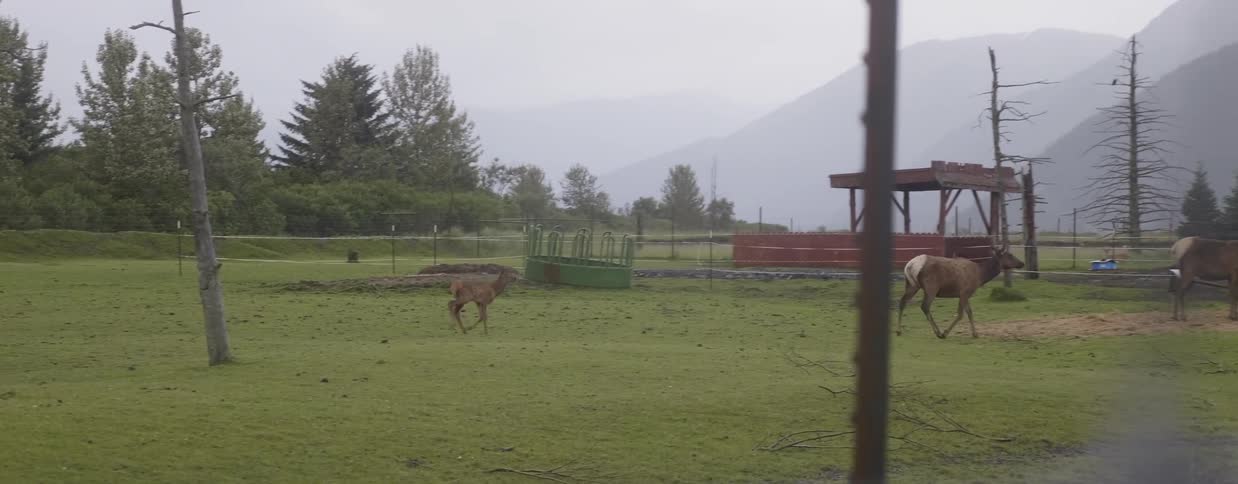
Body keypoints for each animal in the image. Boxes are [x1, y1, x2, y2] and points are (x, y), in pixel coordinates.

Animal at [896, 245, 1025, 339]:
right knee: (925, 306)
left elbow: (970, 312)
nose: (1022, 263)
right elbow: (960, 314)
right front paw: (945, 332)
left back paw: (899, 331)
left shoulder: (966, 294)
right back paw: (938, 332)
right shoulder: (964, 291)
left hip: (912, 285)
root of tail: (910, 266)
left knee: (902, 302)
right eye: (1010, 255)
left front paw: (975, 334)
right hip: (931, 287)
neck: (980, 276)